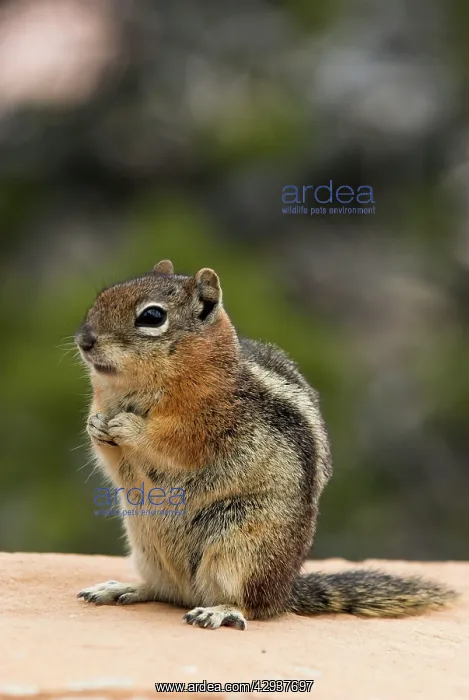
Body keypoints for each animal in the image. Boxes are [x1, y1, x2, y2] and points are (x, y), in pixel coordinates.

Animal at [75, 260, 456, 630]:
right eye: (101, 298)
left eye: (152, 316)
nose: (84, 339)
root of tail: (284, 593)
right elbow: (108, 451)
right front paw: (96, 425)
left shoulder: (206, 423)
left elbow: (172, 442)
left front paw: (126, 426)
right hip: (146, 545)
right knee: (164, 590)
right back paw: (121, 588)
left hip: (242, 545)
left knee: (248, 604)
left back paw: (219, 610)